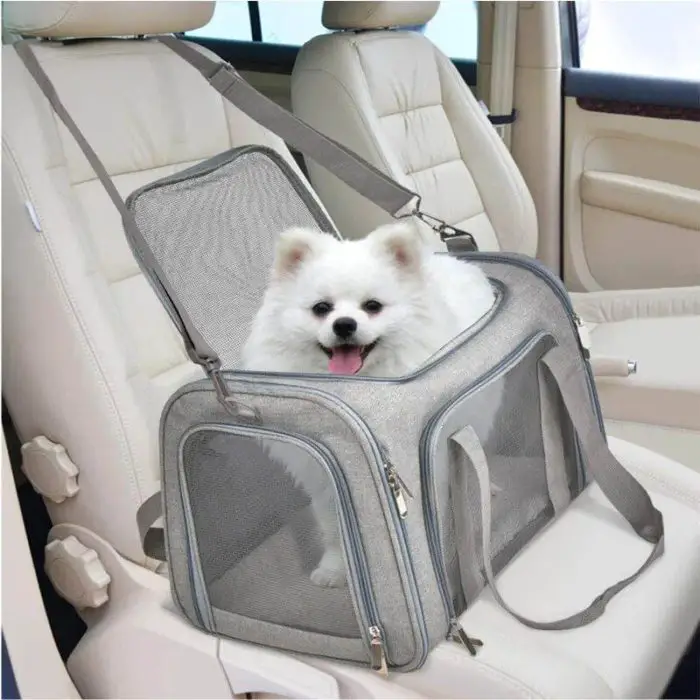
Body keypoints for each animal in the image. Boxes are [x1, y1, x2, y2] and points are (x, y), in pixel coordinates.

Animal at [241, 220, 498, 584]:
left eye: (372, 306)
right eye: (322, 309)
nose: (344, 324)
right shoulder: (324, 478)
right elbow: (334, 528)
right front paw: (334, 568)